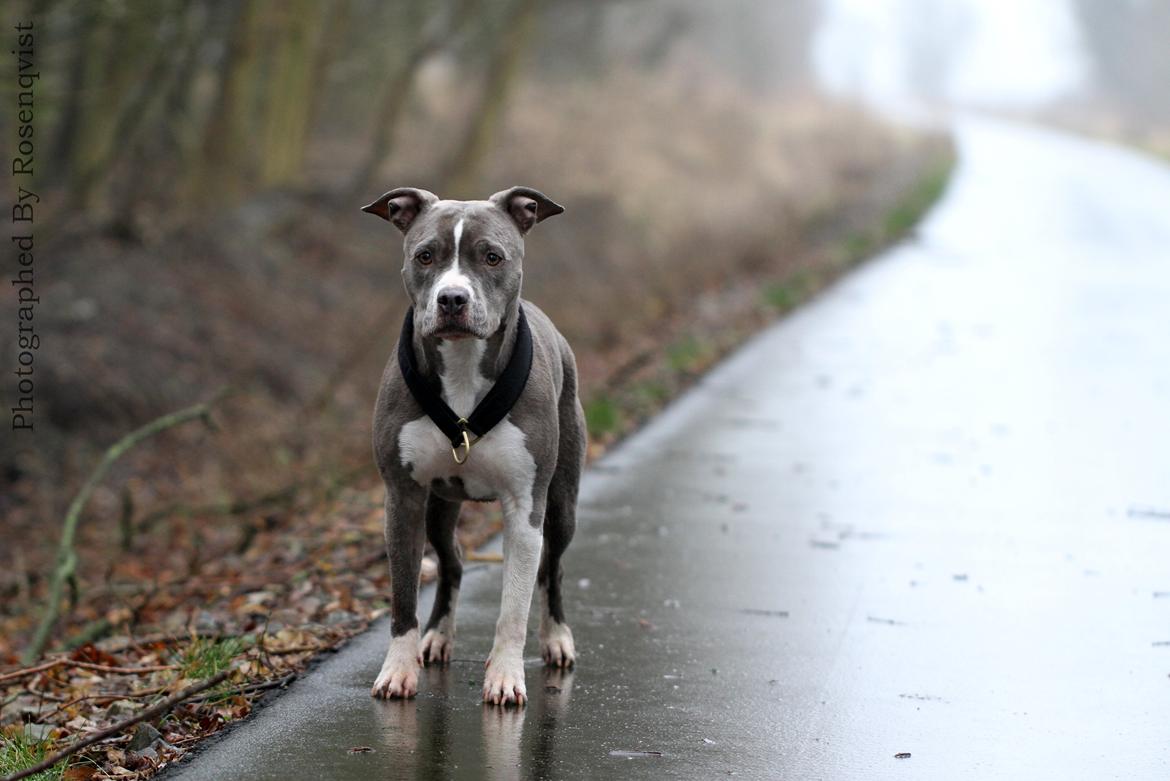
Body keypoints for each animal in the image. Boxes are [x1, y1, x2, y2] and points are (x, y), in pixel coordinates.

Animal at [360, 187, 585, 706]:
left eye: (492, 257)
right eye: (425, 256)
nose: (452, 298)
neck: (462, 365)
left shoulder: (524, 505)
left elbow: (514, 605)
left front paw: (504, 675)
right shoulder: (402, 498)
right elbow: (403, 595)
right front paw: (397, 671)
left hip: (562, 502)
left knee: (553, 568)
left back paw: (557, 639)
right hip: (439, 505)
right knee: (452, 561)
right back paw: (438, 637)